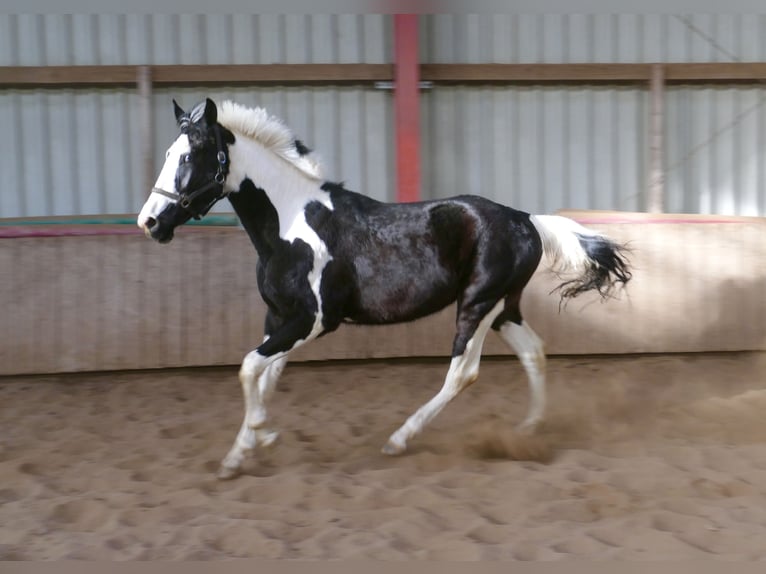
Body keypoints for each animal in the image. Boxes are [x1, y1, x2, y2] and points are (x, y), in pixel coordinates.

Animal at [137, 98, 631, 480]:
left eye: (189, 156)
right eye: (169, 152)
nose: (149, 222)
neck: (289, 224)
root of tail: (525, 219)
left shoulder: (314, 320)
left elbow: (248, 369)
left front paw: (265, 434)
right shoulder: (278, 318)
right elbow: (265, 376)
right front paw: (238, 456)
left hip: (477, 305)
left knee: (463, 372)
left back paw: (399, 439)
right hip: (504, 309)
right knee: (534, 352)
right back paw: (527, 432)